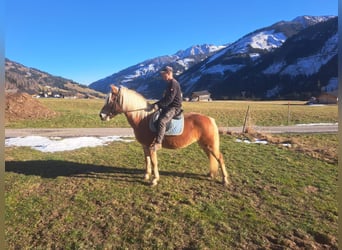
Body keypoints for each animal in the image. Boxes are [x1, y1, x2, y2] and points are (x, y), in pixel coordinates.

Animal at [99, 85, 230, 187]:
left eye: (111, 100)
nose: (101, 115)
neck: (143, 119)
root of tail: (210, 119)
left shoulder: (151, 147)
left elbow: (154, 162)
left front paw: (154, 180)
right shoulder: (145, 146)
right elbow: (147, 161)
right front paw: (146, 176)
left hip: (210, 145)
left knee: (220, 158)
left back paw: (225, 180)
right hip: (204, 145)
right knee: (211, 157)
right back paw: (210, 174)